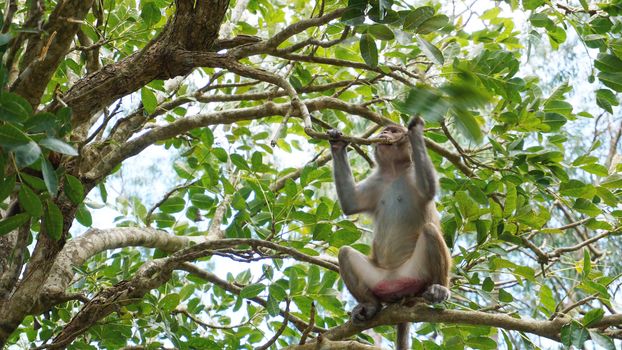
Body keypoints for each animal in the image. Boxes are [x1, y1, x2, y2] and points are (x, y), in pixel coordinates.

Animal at [326, 117, 454, 350]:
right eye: (385, 130)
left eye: (393, 130)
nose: (384, 133)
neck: (394, 171)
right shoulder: (376, 182)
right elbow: (351, 203)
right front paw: (337, 143)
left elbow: (429, 188)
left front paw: (415, 130)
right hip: (380, 279)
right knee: (345, 252)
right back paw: (370, 305)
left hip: (417, 274)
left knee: (430, 230)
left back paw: (439, 289)